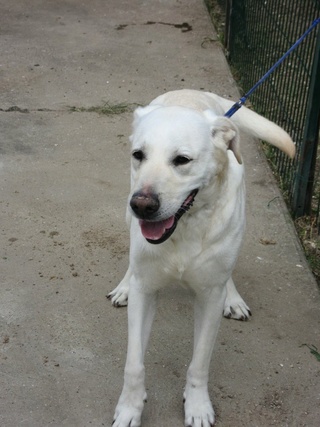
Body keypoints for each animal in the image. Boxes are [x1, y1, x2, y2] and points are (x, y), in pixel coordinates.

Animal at [108, 88, 296, 426]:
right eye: (139, 155)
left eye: (182, 160)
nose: (142, 205)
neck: (185, 227)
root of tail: (192, 92)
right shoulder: (146, 292)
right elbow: (134, 364)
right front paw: (129, 408)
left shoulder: (209, 297)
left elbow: (199, 363)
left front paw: (197, 406)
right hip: (129, 214)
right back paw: (125, 285)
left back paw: (233, 298)